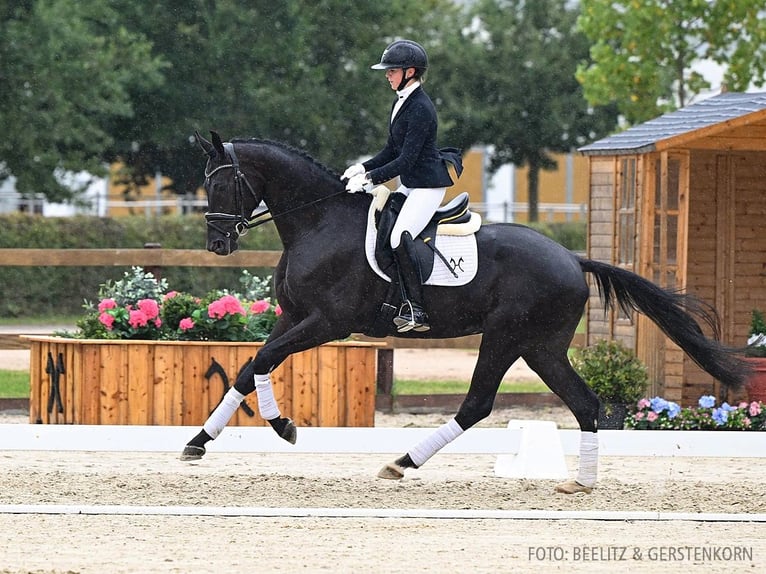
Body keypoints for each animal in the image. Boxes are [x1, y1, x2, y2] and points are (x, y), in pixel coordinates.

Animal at [184, 130, 752, 496]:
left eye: (223, 182)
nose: (217, 244)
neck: (318, 221)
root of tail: (572, 258)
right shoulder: (293, 316)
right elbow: (248, 367)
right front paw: (198, 442)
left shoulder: (328, 323)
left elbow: (262, 363)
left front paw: (284, 427)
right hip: (540, 348)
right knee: (584, 403)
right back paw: (581, 483)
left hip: (504, 338)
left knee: (478, 404)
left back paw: (402, 462)